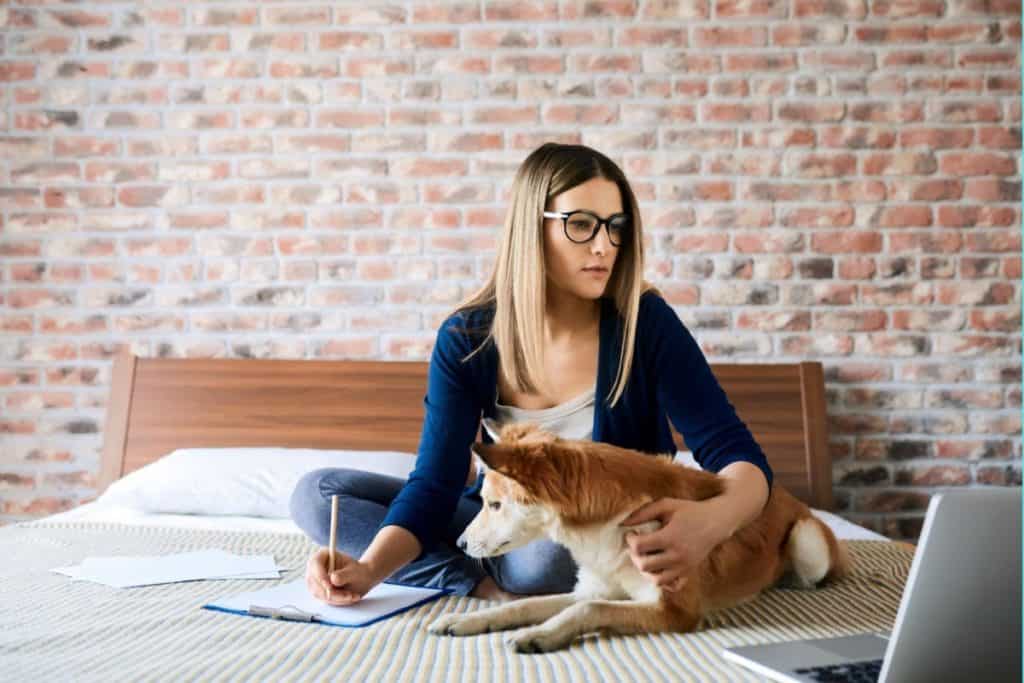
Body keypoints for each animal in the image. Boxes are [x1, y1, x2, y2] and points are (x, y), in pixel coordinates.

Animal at [423, 423, 847, 655]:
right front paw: (467, 620)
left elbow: (587, 611)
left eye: (494, 504)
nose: (460, 545)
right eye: (484, 501)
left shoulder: (673, 611)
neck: (608, 530)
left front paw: (540, 635)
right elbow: (524, 605)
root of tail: (785, 492)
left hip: (808, 541)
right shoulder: (591, 587)